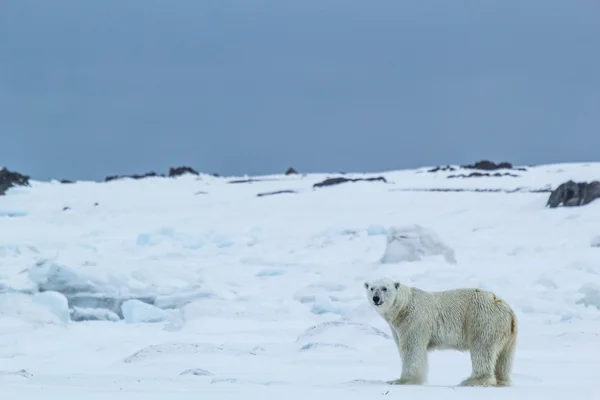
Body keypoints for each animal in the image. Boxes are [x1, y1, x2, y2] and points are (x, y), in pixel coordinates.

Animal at [364, 276, 516, 386]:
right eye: (372, 288)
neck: (404, 307)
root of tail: (507, 308)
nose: (376, 298)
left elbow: (412, 349)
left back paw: (472, 380)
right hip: (507, 333)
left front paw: (402, 380)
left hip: (482, 320)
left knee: (482, 349)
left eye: (384, 288)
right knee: (504, 357)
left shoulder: (414, 320)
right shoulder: (397, 327)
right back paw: (502, 381)